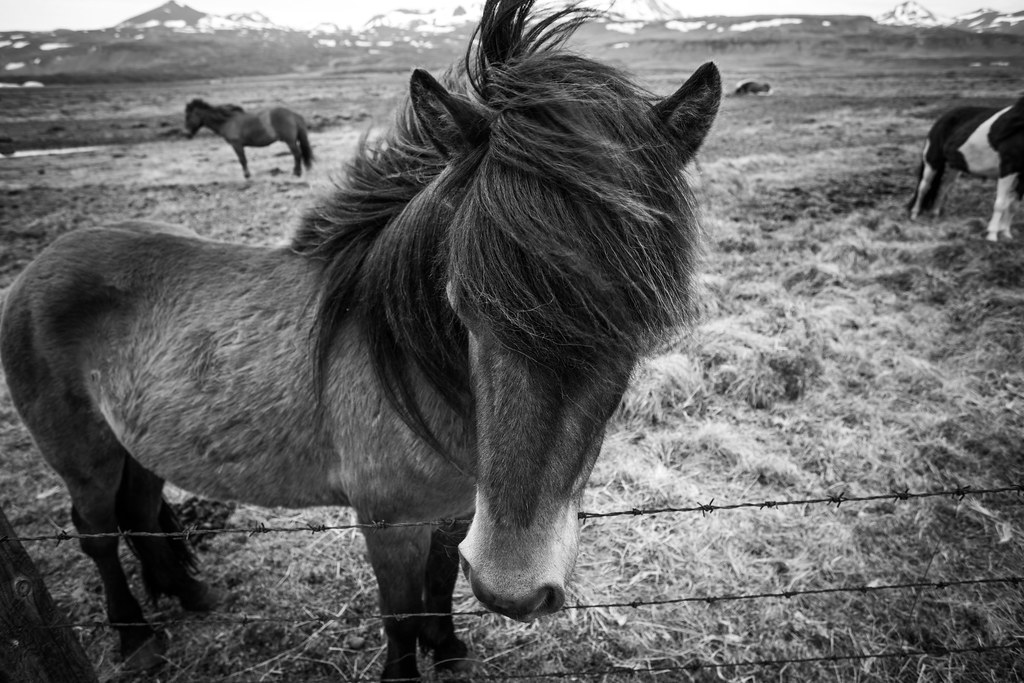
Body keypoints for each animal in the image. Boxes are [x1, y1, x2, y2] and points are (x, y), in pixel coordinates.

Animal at [184, 99, 313, 179]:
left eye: (189, 116)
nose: (186, 134)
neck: (227, 121)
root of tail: (293, 114)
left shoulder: (237, 145)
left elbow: (242, 160)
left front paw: (247, 175)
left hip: (290, 141)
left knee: (297, 154)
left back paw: (296, 173)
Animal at [908, 95, 1024, 241]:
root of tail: (942, 118)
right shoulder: (1008, 168)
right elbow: (1000, 204)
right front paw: (992, 235)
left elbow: (1014, 205)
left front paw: (1006, 234)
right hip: (932, 162)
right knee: (924, 187)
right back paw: (914, 214)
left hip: (953, 167)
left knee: (944, 187)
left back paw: (935, 213)